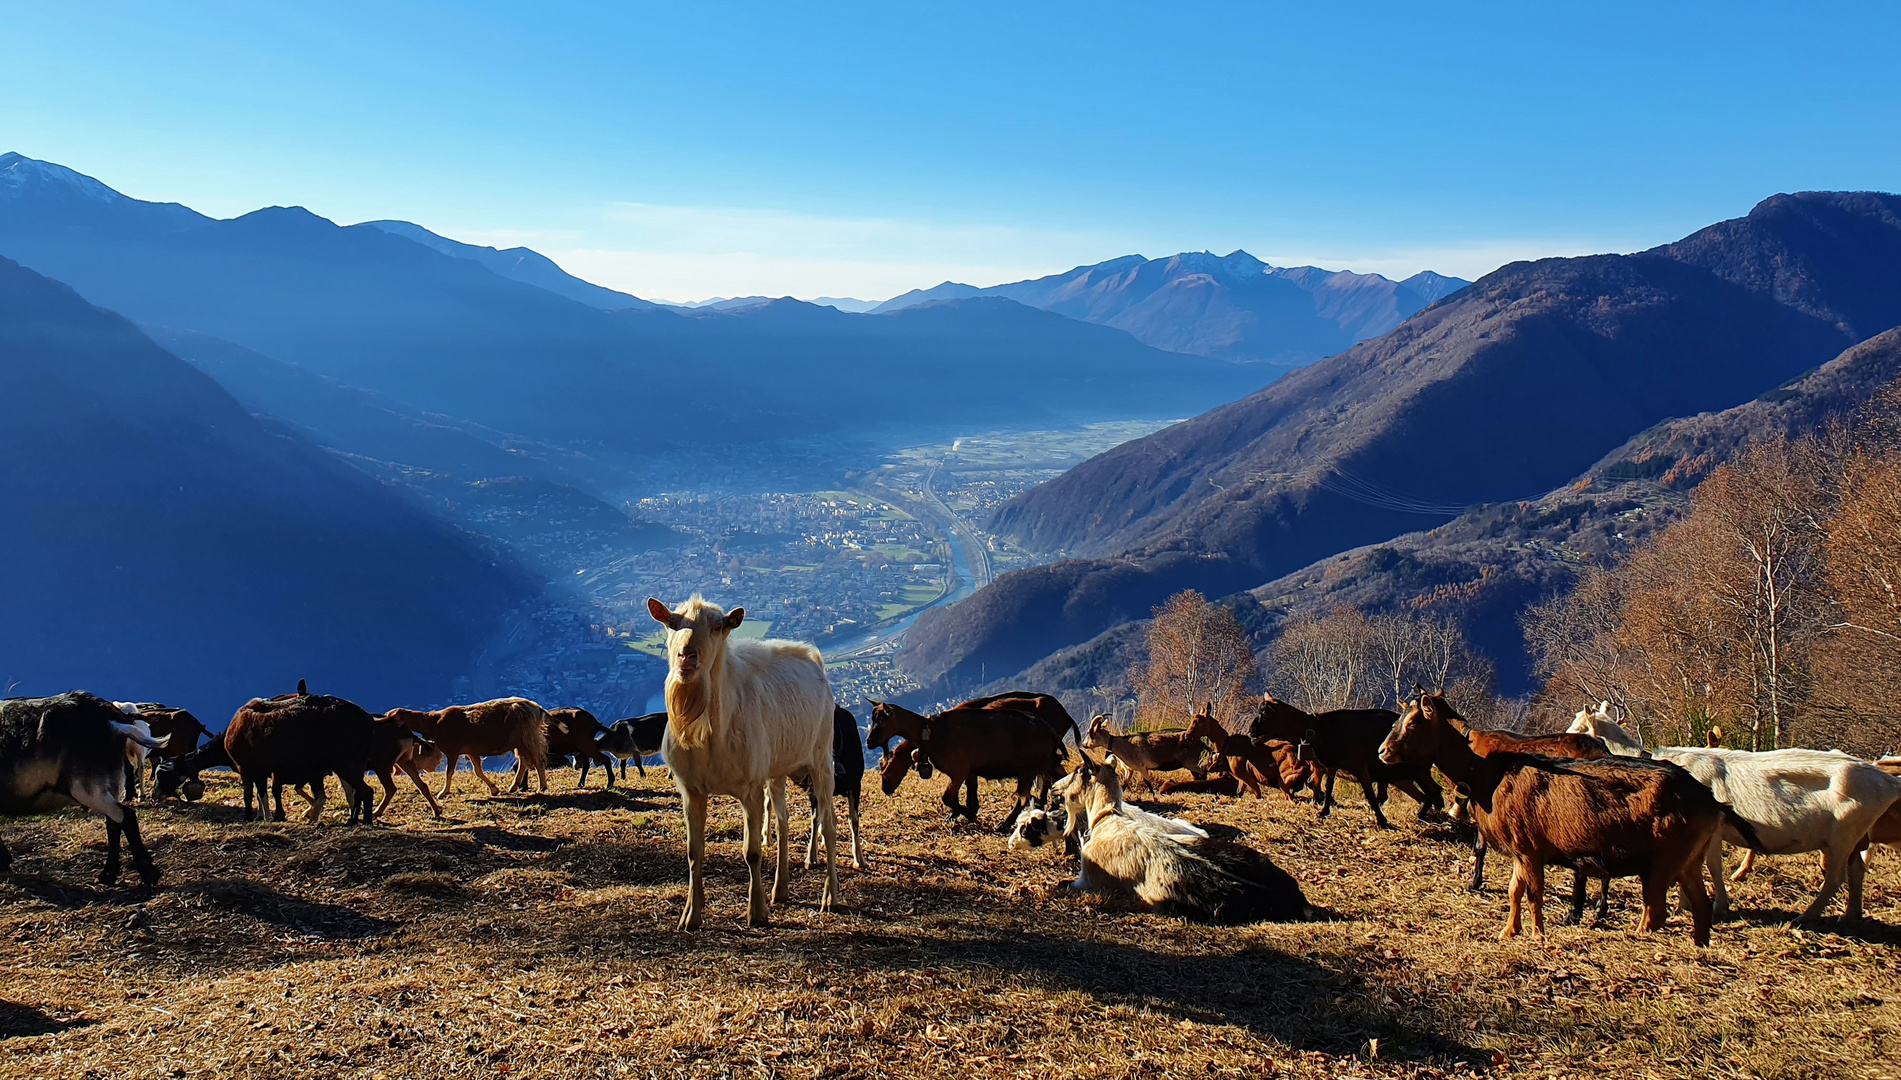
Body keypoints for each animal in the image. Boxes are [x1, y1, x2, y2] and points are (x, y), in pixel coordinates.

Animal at [384, 695, 551, 798]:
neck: (434, 722)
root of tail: (536, 707)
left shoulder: (453, 751)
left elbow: (449, 772)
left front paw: (442, 793)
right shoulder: (470, 751)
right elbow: (478, 771)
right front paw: (494, 789)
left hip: (528, 738)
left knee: (537, 761)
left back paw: (542, 787)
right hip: (520, 742)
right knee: (523, 762)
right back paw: (513, 787)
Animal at [650, 593, 836, 931]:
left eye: (718, 627)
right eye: (672, 622)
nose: (687, 656)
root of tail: (812, 657)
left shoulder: (750, 788)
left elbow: (751, 852)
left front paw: (757, 912)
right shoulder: (691, 790)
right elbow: (694, 851)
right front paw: (690, 916)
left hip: (821, 758)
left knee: (829, 824)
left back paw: (831, 896)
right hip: (777, 770)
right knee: (783, 821)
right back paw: (781, 889)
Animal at [866, 699, 1064, 825]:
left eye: (882, 719)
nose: (869, 742)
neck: (933, 732)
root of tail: (1048, 729)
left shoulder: (959, 770)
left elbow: (947, 797)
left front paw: (968, 814)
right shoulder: (967, 771)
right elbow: (966, 792)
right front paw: (962, 813)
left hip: (1029, 768)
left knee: (1024, 797)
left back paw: (1005, 824)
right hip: (1047, 762)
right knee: (1059, 781)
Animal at [1376, 695, 1756, 939]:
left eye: (1413, 722)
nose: (1382, 751)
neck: (1484, 768)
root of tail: (1710, 799)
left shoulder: (1529, 846)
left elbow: (1530, 889)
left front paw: (1537, 933)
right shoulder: (1521, 850)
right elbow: (1515, 889)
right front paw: (1509, 930)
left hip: (1662, 859)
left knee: (1655, 912)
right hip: (1686, 859)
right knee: (1699, 905)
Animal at [1650, 749, 1901, 920]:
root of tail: (1889, 781)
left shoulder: (1714, 829)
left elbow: (1713, 867)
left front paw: (1719, 906)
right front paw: (1683, 906)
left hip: (1844, 835)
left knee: (1836, 877)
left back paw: (1806, 916)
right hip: (1854, 838)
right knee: (1857, 870)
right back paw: (1850, 914)